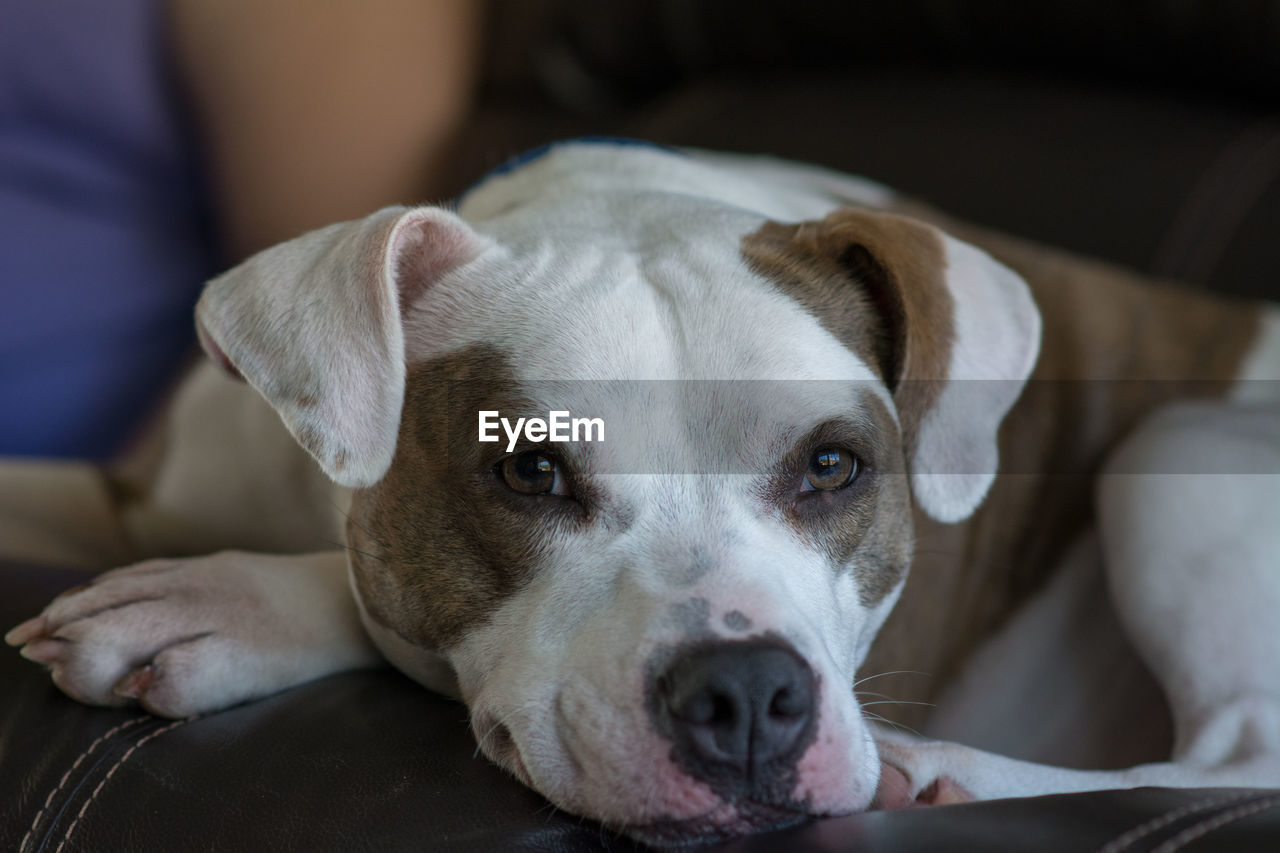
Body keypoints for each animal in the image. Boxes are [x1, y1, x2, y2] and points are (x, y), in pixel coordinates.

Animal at [2, 140, 1280, 845]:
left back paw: (942, 774)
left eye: (832, 465)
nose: (748, 696)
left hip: (1176, 442)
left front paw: (220, 604)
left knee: (1236, 754)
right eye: (528, 467)